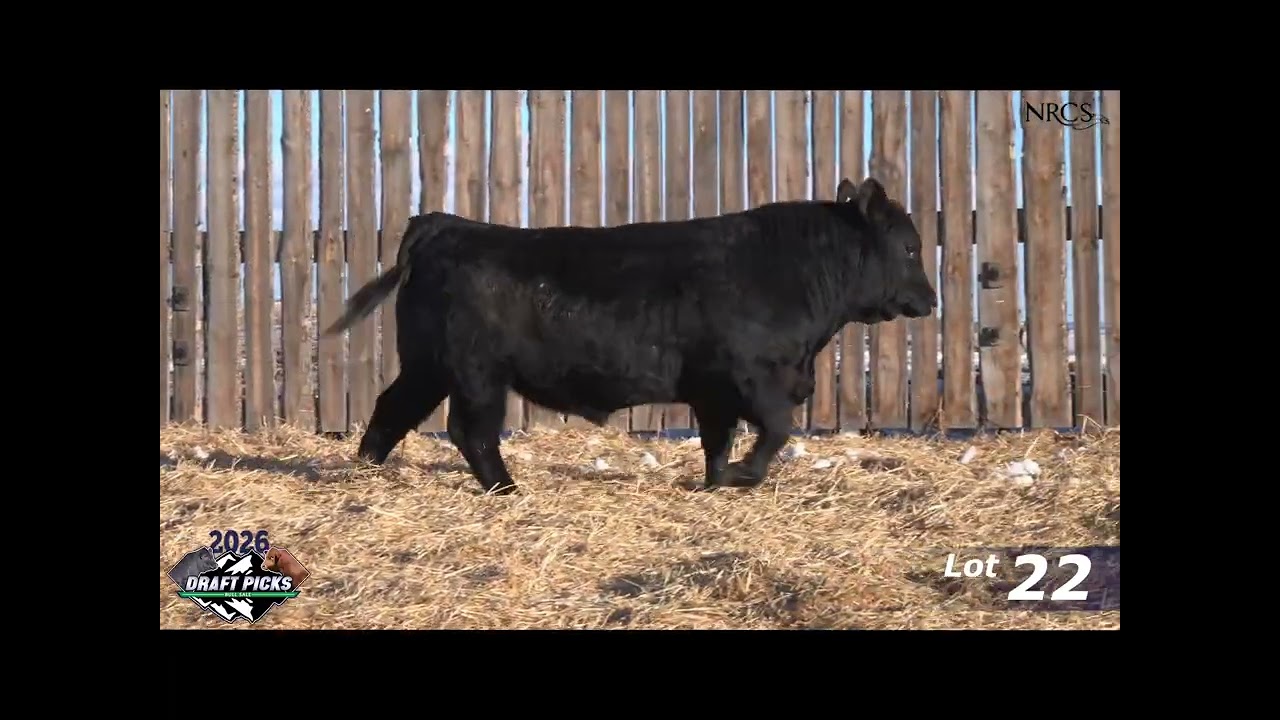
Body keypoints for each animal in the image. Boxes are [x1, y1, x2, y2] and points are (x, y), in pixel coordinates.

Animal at [324, 176, 937, 496]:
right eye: (909, 246)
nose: (930, 300)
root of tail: (448, 224)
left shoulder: (714, 392)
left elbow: (718, 442)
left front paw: (717, 483)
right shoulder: (752, 377)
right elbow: (777, 430)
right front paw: (744, 475)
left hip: (429, 366)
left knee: (392, 409)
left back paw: (365, 470)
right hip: (475, 374)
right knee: (469, 431)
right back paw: (506, 489)